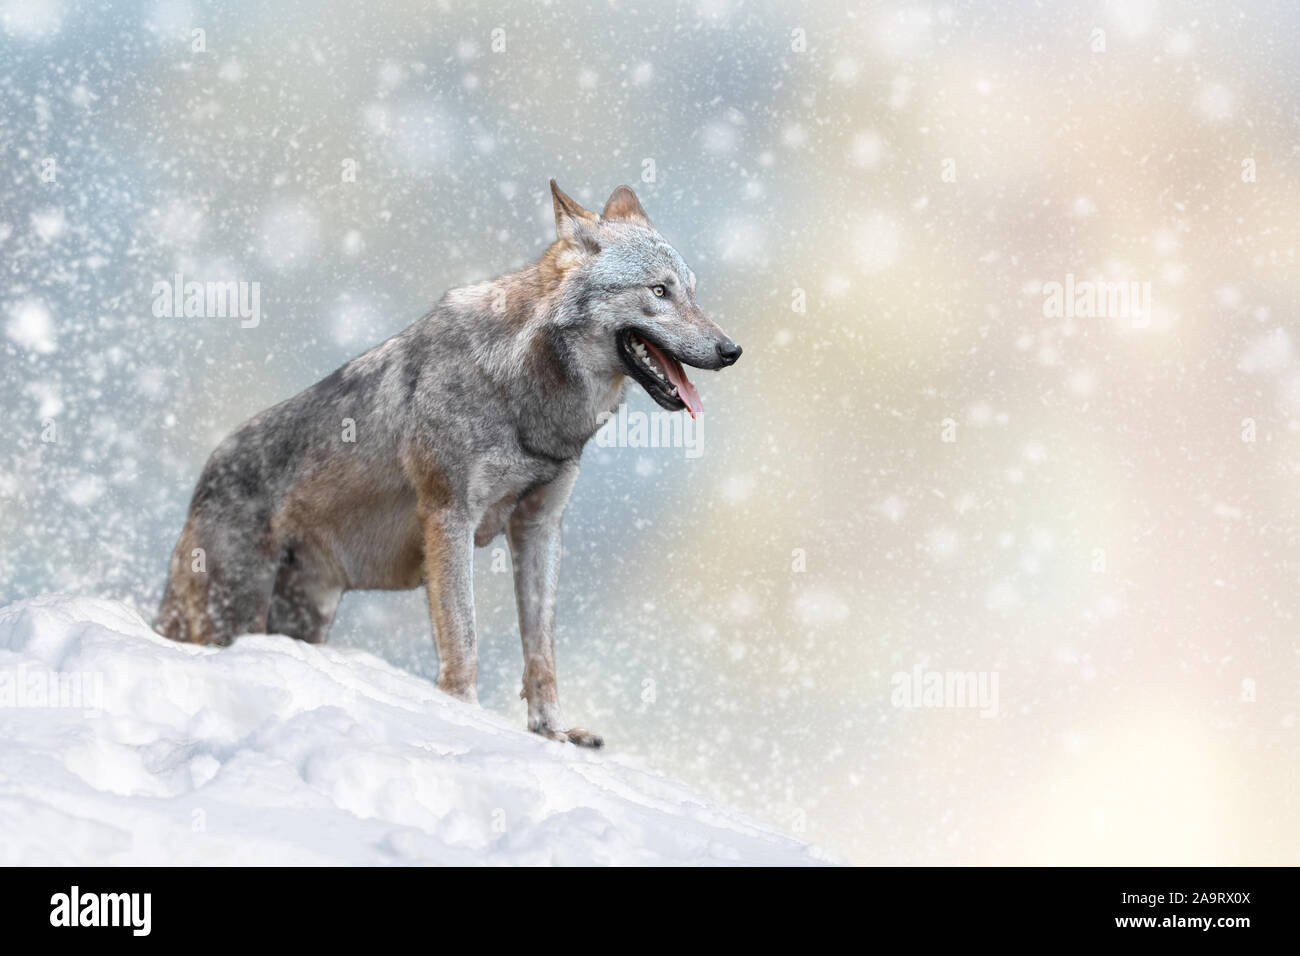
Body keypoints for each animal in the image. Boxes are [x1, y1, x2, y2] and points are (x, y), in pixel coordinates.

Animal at [155, 181, 741, 747]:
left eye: (691, 292)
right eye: (659, 291)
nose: (731, 350)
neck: (522, 393)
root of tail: (202, 483)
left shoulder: (539, 527)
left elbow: (541, 653)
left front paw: (552, 732)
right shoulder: (449, 517)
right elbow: (463, 638)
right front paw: (463, 719)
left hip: (304, 619)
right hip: (237, 616)